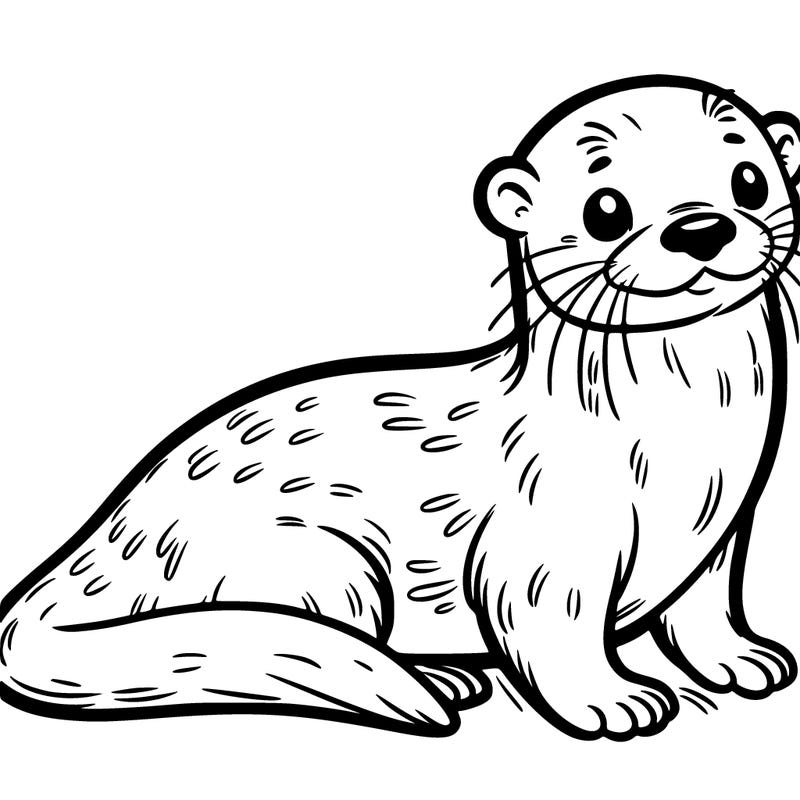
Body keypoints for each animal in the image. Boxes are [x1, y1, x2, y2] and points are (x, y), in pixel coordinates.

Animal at [1, 75, 798, 741]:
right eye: (605, 208)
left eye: (750, 180)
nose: (700, 227)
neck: (682, 449)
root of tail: (112, 535)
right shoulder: (548, 539)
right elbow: (548, 626)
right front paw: (609, 699)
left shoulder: (723, 533)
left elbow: (704, 610)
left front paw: (742, 658)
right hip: (321, 563)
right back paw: (436, 679)